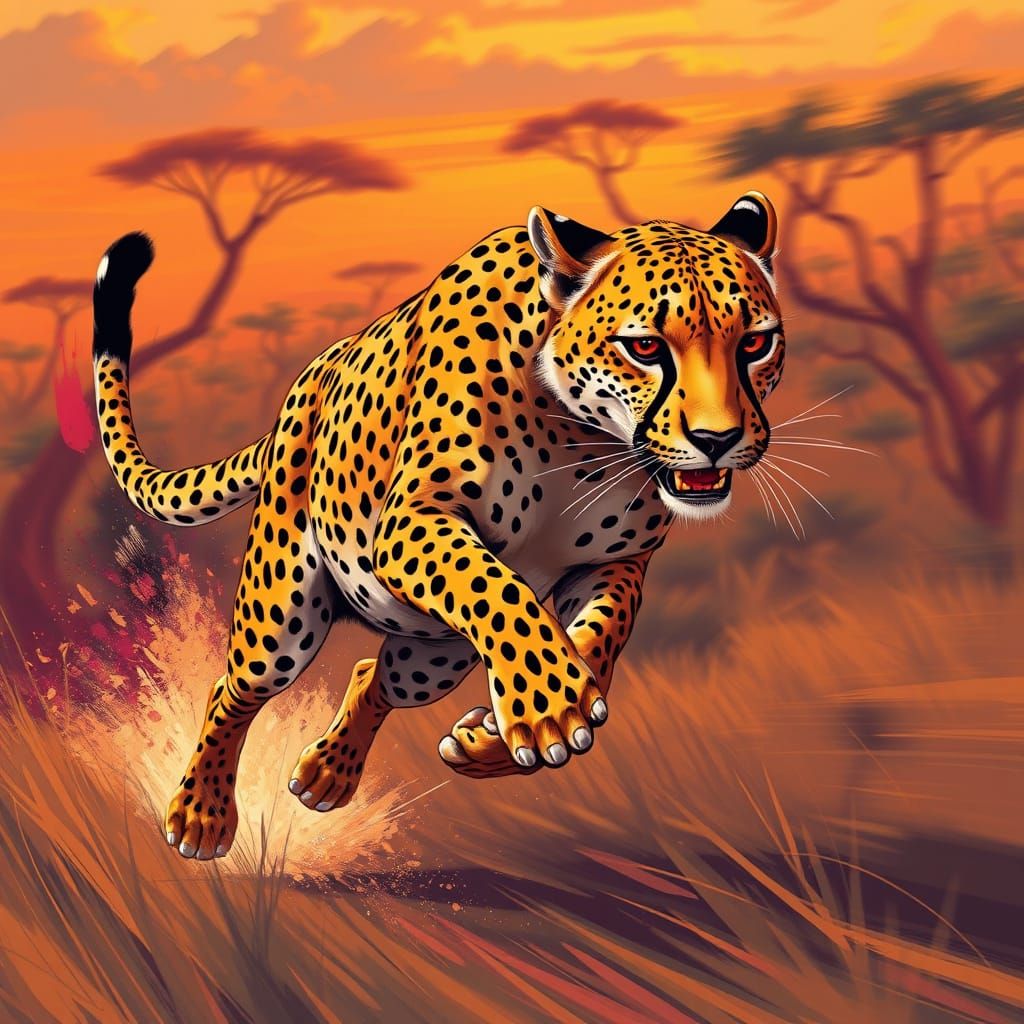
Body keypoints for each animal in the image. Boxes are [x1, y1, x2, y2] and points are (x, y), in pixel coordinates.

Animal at [92, 192, 785, 860]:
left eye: (755, 344)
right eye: (644, 347)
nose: (717, 441)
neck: (580, 440)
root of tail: (302, 391)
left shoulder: (616, 562)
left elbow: (600, 636)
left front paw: (500, 735)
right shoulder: (411, 521)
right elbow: (498, 589)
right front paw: (551, 705)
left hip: (434, 653)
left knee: (373, 674)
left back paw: (329, 773)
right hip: (281, 617)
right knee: (231, 689)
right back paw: (199, 814)